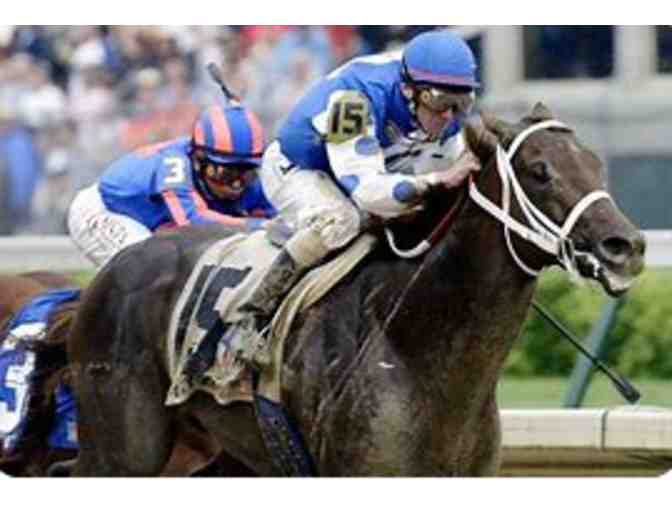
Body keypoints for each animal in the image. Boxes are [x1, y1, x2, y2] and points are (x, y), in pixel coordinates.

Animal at [67, 104, 644, 478]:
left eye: (595, 164)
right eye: (540, 170)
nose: (627, 246)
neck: (411, 343)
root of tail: (110, 273)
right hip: (121, 454)